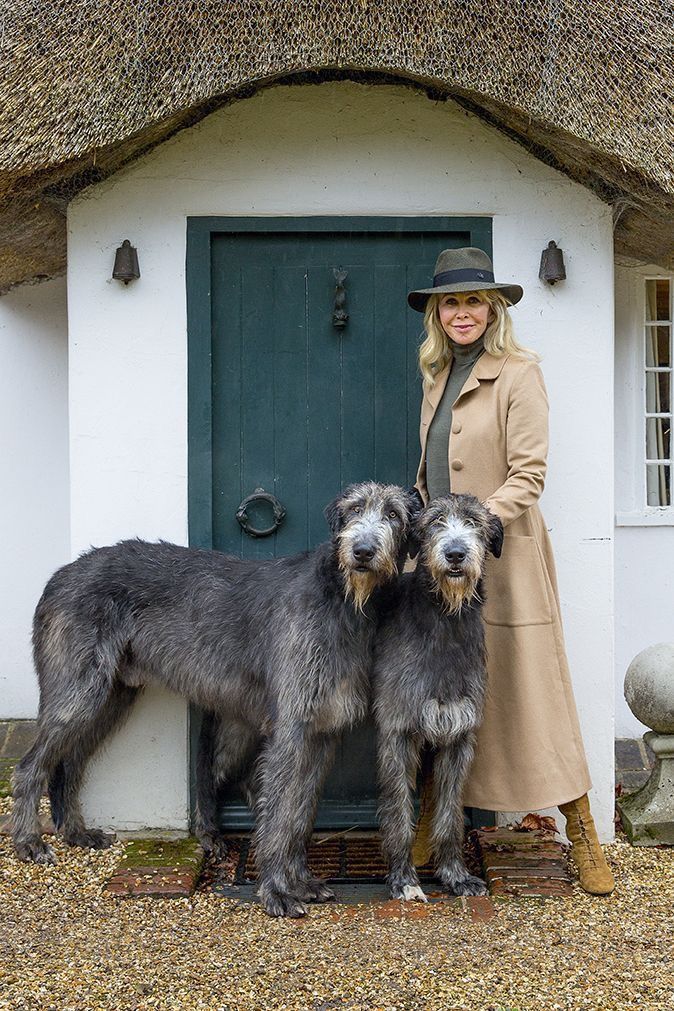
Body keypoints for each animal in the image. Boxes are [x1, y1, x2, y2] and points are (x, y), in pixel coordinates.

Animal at [11, 481, 416, 917]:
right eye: (354, 510)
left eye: (393, 515)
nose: (362, 551)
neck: (343, 597)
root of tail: (60, 574)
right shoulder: (290, 728)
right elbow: (279, 816)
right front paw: (276, 890)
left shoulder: (321, 733)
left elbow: (300, 815)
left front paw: (301, 882)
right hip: (78, 692)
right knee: (30, 765)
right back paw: (28, 842)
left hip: (114, 696)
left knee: (72, 761)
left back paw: (77, 833)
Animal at [373, 495, 501, 901]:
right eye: (435, 522)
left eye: (474, 522)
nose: (455, 554)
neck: (446, 618)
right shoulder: (397, 731)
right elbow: (399, 813)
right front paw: (404, 880)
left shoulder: (459, 735)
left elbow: (449, 813)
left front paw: (455, 874)